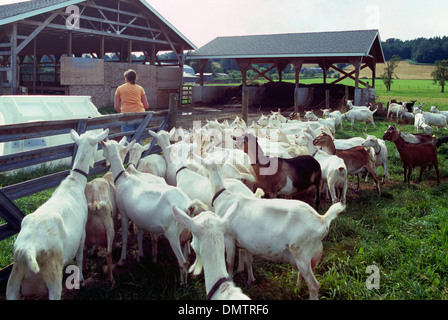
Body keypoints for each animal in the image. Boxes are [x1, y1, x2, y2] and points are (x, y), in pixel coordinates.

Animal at [6, 129, 109, 298]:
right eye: (96, 144)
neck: (73, 183)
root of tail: (29, 250)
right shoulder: (81, 233)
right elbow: (80, 256)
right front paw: (81, 279)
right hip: (53, 279)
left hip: (13, 282)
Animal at [194, 156, 344, 300]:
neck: (223, 197)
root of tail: (322, 220)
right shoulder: (246, 241)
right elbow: (249, 259)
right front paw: (251, 280)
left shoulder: (228, 237)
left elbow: (229, 262)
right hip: (307, 256)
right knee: (303, 275)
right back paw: (297, 287)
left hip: (302, 252)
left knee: (314, 285)